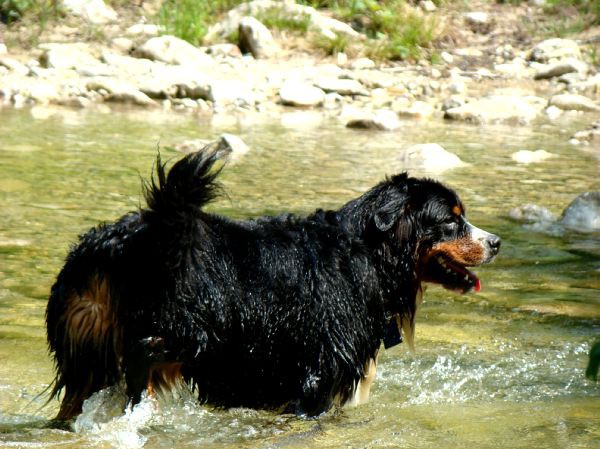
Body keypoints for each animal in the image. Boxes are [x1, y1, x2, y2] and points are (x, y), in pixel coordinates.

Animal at [47, 150, 500, 420]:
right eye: (451, 221)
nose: (495, 242)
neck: (366, 257)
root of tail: (127, 239)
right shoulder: (317, 375)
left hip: (85, 344)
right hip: (193, 331)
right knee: (144, 355)